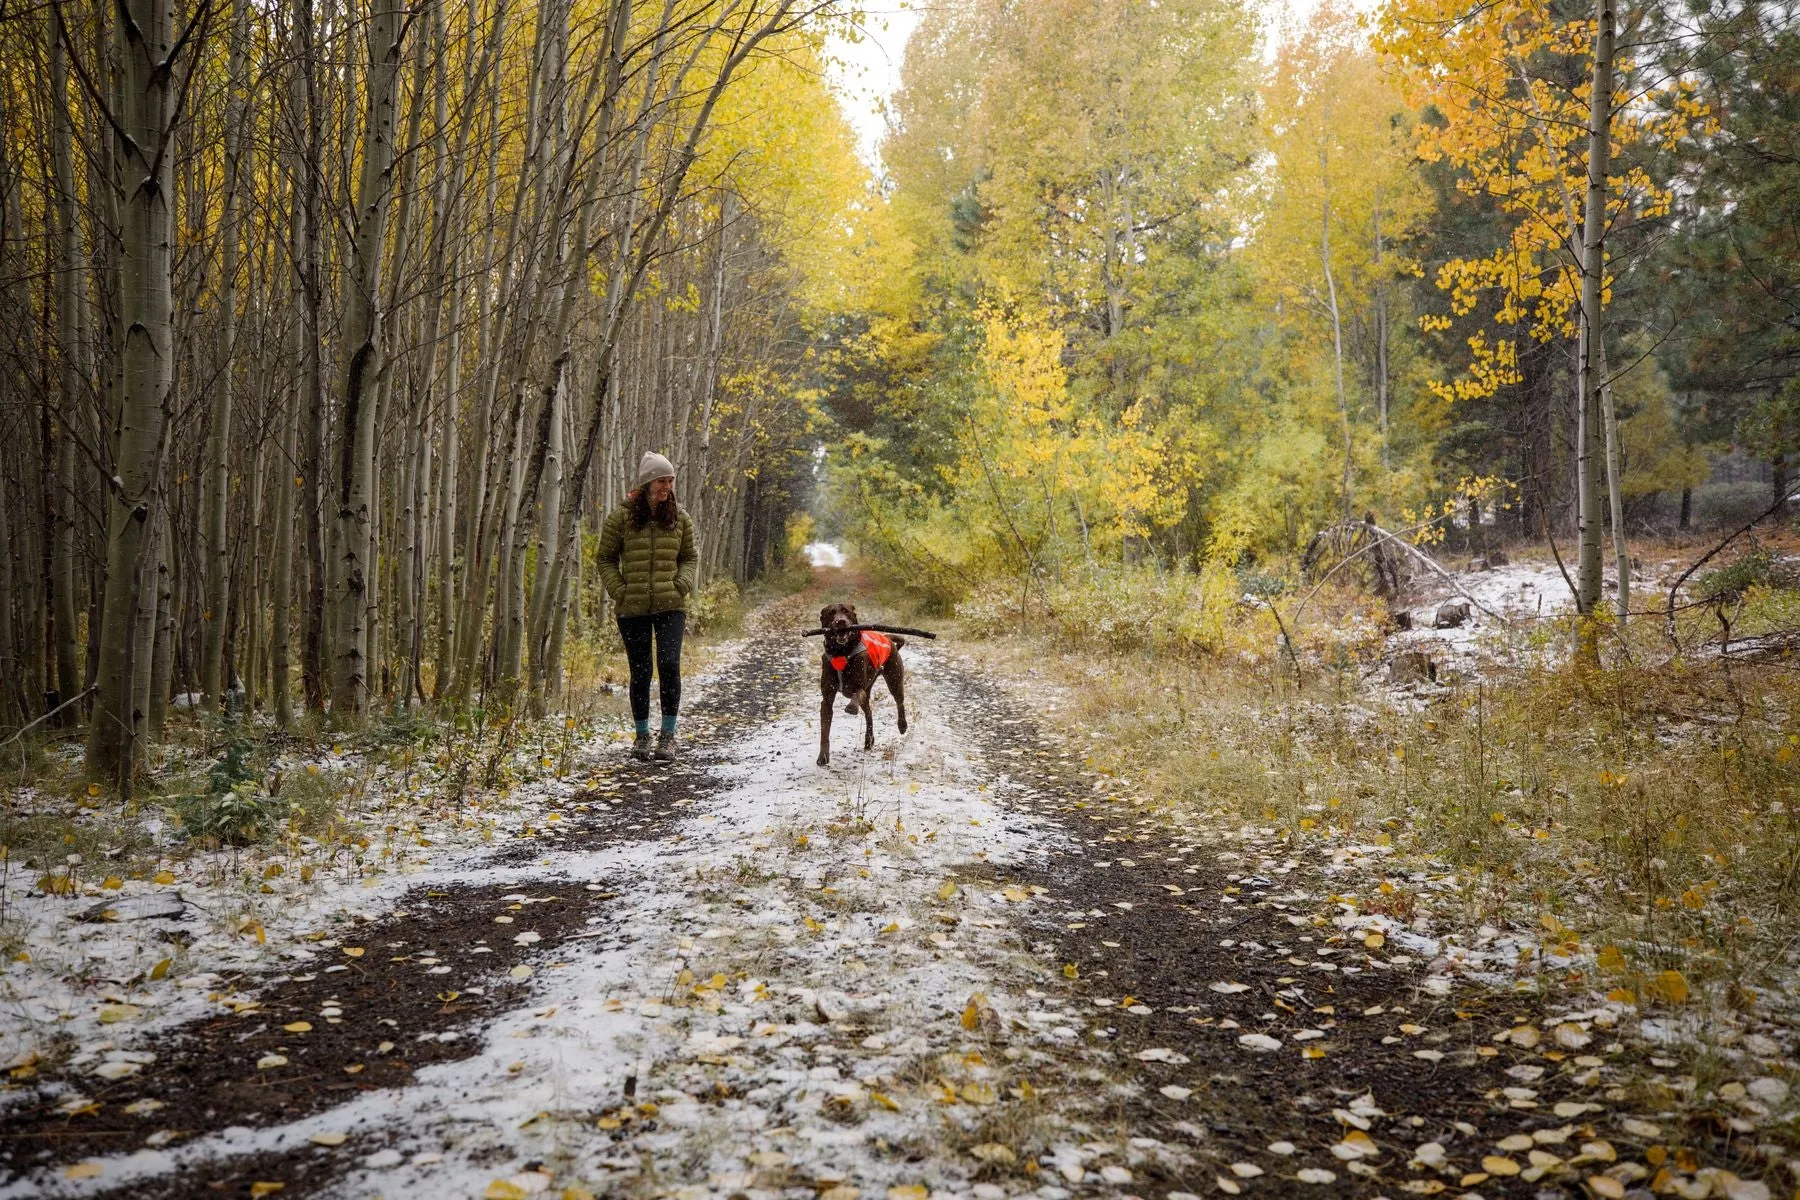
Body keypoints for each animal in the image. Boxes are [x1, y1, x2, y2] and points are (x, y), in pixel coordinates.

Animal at [817, 604, 907, 766]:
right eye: (831, 613)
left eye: (846, 611)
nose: (841, 622)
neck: (842, 652)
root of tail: (887, 637)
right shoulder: (826, 700)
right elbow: (824, 732)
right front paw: (823, 756)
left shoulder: (861, 686)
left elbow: (857, 693)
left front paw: (851, 707)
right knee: (869, 713)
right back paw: (868, 739)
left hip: (894, 679)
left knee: (899, 702)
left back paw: (902, 725)